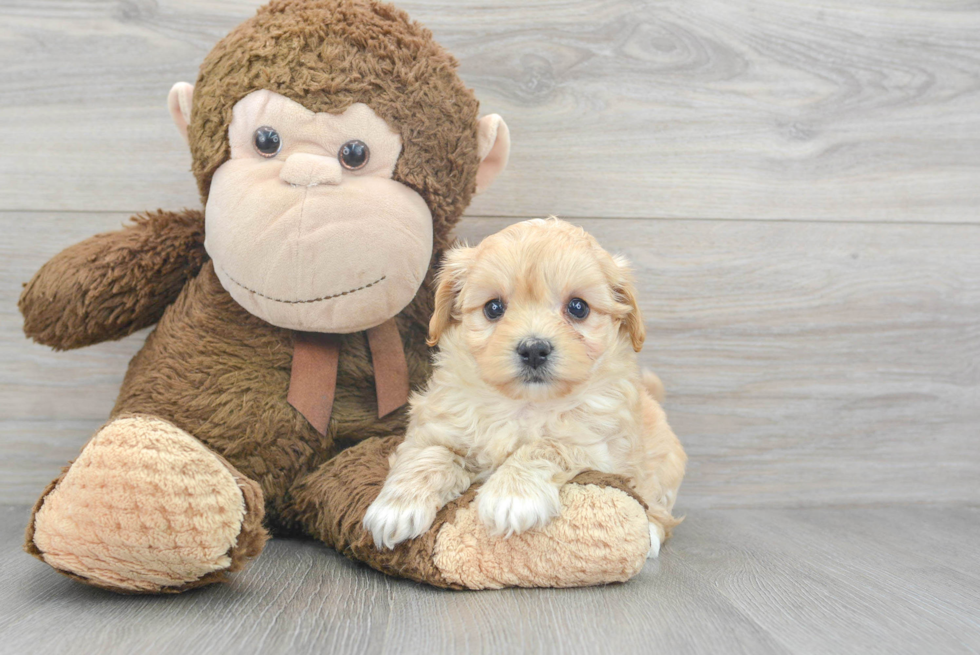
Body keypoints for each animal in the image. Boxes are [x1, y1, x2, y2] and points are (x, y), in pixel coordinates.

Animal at [364, 218, 684, 556]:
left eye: (578, 307)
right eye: (493, 308)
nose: (533, 349)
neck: (524, 403)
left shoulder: (596, 445)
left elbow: (545, 445)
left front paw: (512, 496)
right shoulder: (436, 425)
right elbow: (429, 454)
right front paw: (395, 508)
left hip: (663, 467)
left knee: (656, 505)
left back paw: (650, 534)